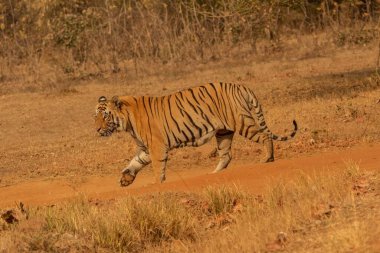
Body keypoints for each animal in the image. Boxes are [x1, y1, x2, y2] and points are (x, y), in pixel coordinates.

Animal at [95, 82, 296, 187]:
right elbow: (135, 162)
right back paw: (213, 174)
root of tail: (240, 85)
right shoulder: (146, 148)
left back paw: (267, 158)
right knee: (226, 155)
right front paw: (126, 178)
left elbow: (157, 167)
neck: (127, 121)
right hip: (224, 133)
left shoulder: (156, 146)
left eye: (105, 116)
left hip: (242, 123)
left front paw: (157, 183)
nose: (96, 129)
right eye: (95, 115)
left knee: (265, 136)